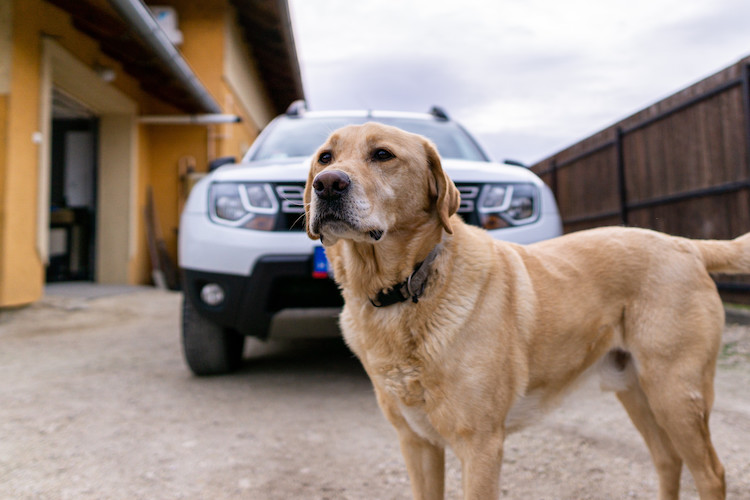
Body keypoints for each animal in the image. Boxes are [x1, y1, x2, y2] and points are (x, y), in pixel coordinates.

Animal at [302, 122, 748, 500]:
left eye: (383, 154)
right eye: (325, 157)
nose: (327, 184)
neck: (407, 287)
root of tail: (684, 244)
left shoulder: (480, 446)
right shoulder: (417, 443)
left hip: (676, 392)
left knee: (711, 473)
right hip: (637, 390)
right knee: (668, 460)